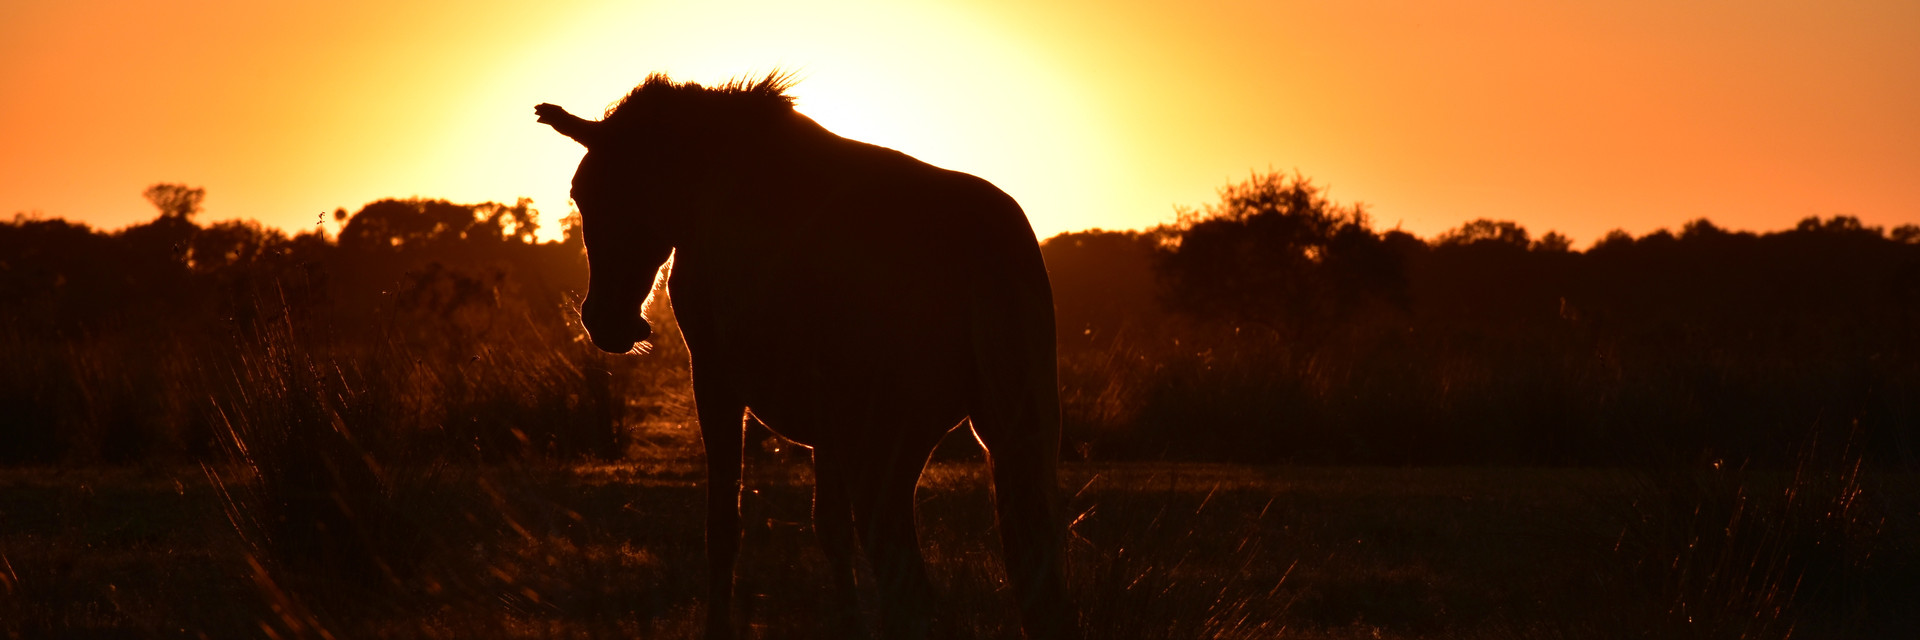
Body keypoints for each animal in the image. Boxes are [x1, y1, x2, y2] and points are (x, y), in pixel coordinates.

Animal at [535, 73, 1075, 640]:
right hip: (1011, 435)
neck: (708, 183)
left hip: (888, 448)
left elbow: (723, 525)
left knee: (910, 589)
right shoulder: (828, 426)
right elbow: (829, 531)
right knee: (1038, 584)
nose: (604, 322)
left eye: (587, 193)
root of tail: (982, 252)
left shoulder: (716, 379)